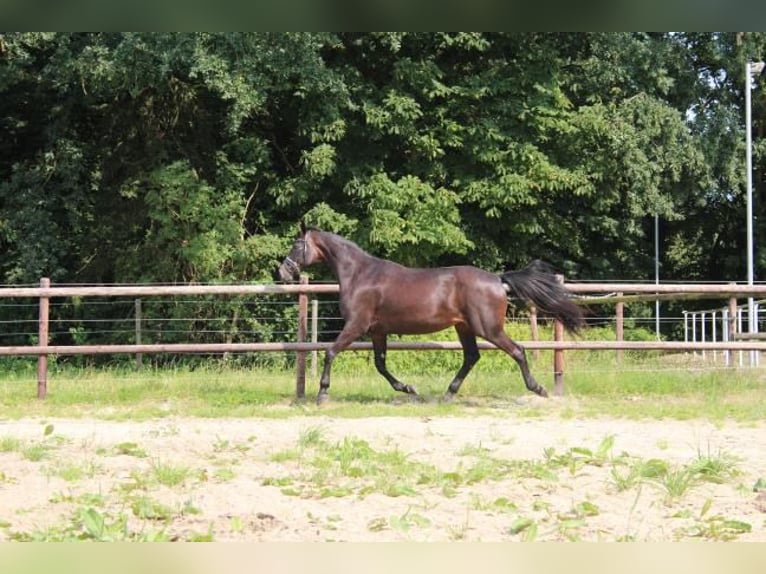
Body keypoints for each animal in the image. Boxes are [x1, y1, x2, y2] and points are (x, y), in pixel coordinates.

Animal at [280, 225, 584, 404]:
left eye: (296, 244)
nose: (283, 272)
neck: (360, 275)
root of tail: (498, 280)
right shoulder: (378, 331)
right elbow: (380, 365)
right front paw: (409, 388)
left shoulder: (357, 325)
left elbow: (331, 352)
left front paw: (322, 393)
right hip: (464, 327)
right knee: (472, 357)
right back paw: (448, 394)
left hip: (489, 328)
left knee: (517, 351)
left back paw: (538, 389)